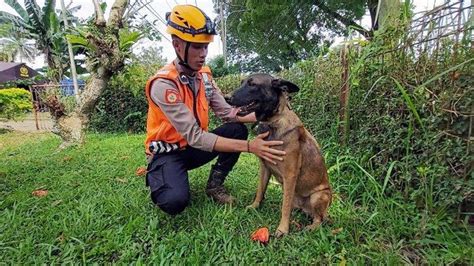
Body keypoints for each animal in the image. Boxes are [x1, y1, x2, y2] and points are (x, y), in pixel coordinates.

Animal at [229, 73, 332, 237]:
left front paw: (282, 229)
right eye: (242, 82)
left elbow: (285, 207)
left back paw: (311, 227)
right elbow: (260, 191)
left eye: (252, 84)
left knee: (319, 219)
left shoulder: (290, 175)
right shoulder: (265, 168)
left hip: (318, 196)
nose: (226, 97)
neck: (273, 121)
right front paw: (255, 206)